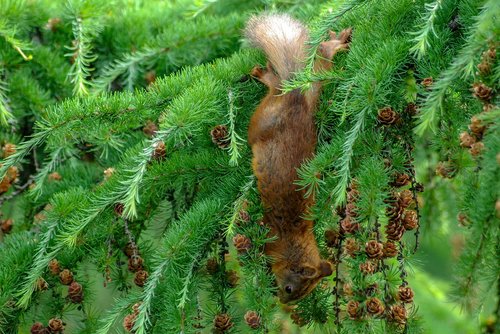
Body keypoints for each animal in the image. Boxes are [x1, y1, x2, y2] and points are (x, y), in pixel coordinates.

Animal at [244, 14, 350, 304]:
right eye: (292, 289)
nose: (283, 302)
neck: (294, 241)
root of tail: (298, 98)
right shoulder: (272, 239)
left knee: (323, 55)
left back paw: (336, 42)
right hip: (261, 120)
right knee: (278, 86)